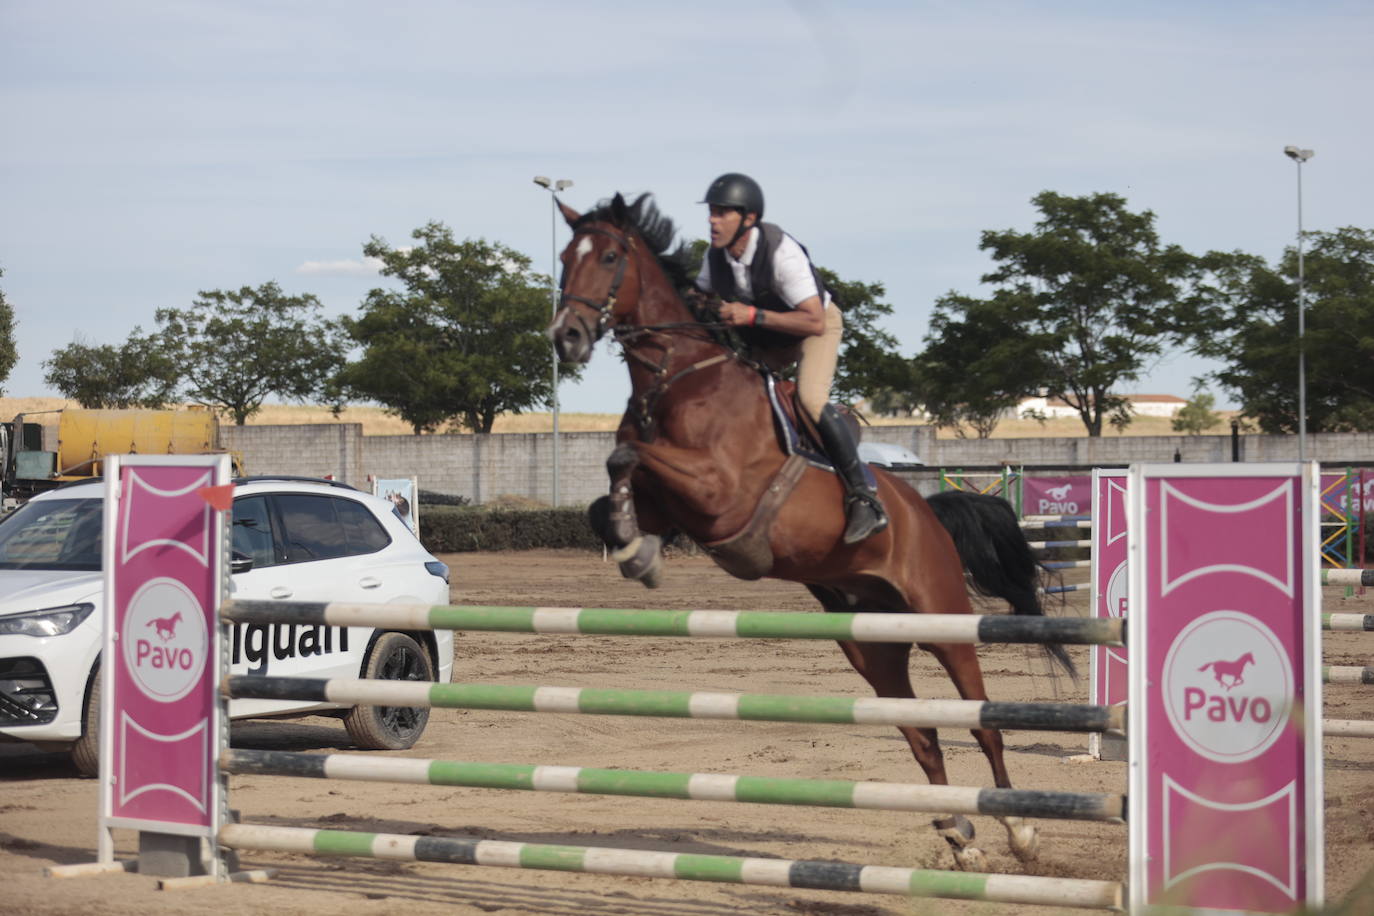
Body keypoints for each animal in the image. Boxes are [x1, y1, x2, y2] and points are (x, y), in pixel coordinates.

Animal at [546, 193, 1071, 873]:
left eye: (610, 257)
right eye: (564, 257)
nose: (567, 337)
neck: (679, 376)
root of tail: (927, 512)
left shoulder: (721, 491)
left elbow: (628, 456)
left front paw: (638, 550)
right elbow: (613, 486)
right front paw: (636, 549)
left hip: (942, 617)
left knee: (982, 724)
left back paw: (1019, 832)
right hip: (872, 646)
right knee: (923, 736)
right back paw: (960, 836)